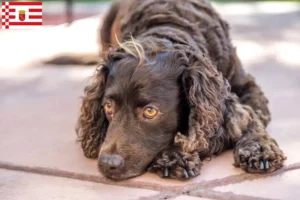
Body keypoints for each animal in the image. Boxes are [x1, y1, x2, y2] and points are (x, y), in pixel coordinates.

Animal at [46, 0, 286, 181]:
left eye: (150, 111)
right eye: (108, 106)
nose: (107, 164)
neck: (169, 28)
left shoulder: (248, 88)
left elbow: (251, 118)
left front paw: (259, 149)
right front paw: (175, 156)